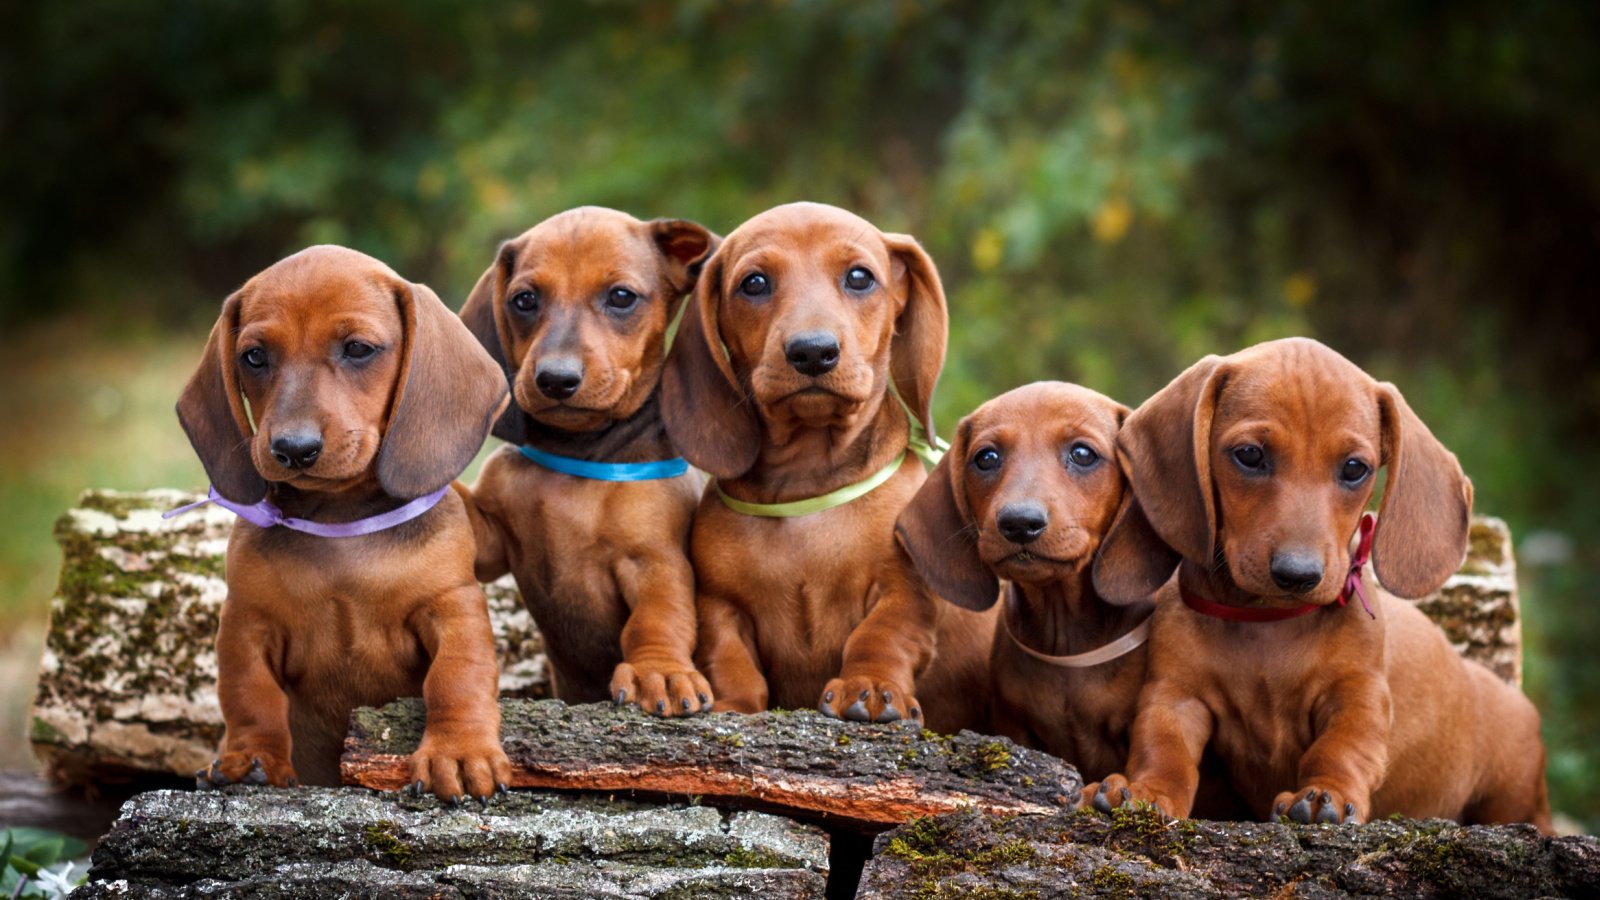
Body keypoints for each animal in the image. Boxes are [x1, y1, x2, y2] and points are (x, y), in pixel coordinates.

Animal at [172, 243, 505, 797]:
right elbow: (250, 694)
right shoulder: (246, 621)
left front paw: (458, 751)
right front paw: (253, 755)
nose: (294, 448)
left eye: (358, 349)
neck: (340, 524)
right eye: (253, 356)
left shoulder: (452, 605)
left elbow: (457, 676)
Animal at [460, 206, 716, 711]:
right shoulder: (491, 537)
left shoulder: (656, 560)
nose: (556, 379)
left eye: (621, 297)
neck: (578, 454)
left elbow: (658, 617)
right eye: (524, 299)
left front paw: (660, 671)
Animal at [659, 199, 985, 733]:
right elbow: (730, 658)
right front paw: (733, 704)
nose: (813, 352)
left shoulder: (904, 589)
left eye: (859, 277)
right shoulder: (720, 604)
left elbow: (882, 635)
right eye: (754, 283)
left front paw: (870, 686)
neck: (806, 487)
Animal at [1088, 339, 1548, 832]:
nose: (1298, 574)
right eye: (1250, 455)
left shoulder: (1358, 695)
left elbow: (1341, 749)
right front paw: (1146, 791)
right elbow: (1163, 747)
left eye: (1355, 468)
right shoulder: (1175, 695)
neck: (1266, 622)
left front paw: (1326, 794)